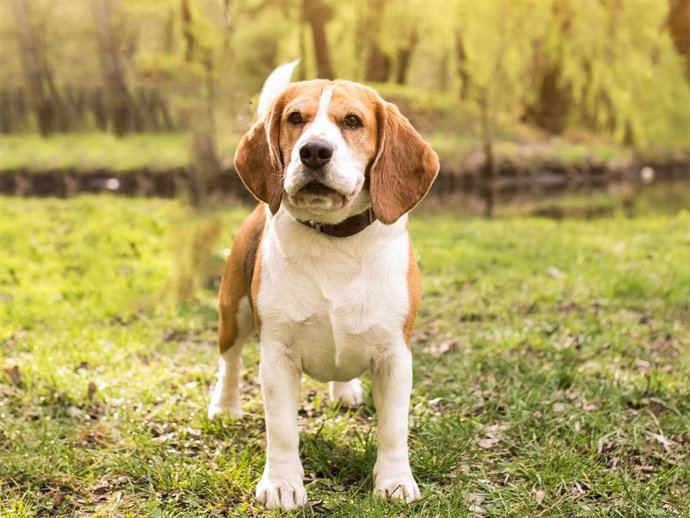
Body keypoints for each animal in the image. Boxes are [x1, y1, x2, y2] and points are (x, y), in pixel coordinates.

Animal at [207, 62, 438, 512]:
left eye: (352, 121)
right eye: (295, 118)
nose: (313, 151)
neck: (335, 239)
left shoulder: (395, 356)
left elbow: (393, 429)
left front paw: (395, 482)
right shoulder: (277, 356)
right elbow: (281, 429)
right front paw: (282, 484)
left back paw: (345, 390)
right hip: (233, 311)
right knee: (229, 361)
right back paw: (224, 406)